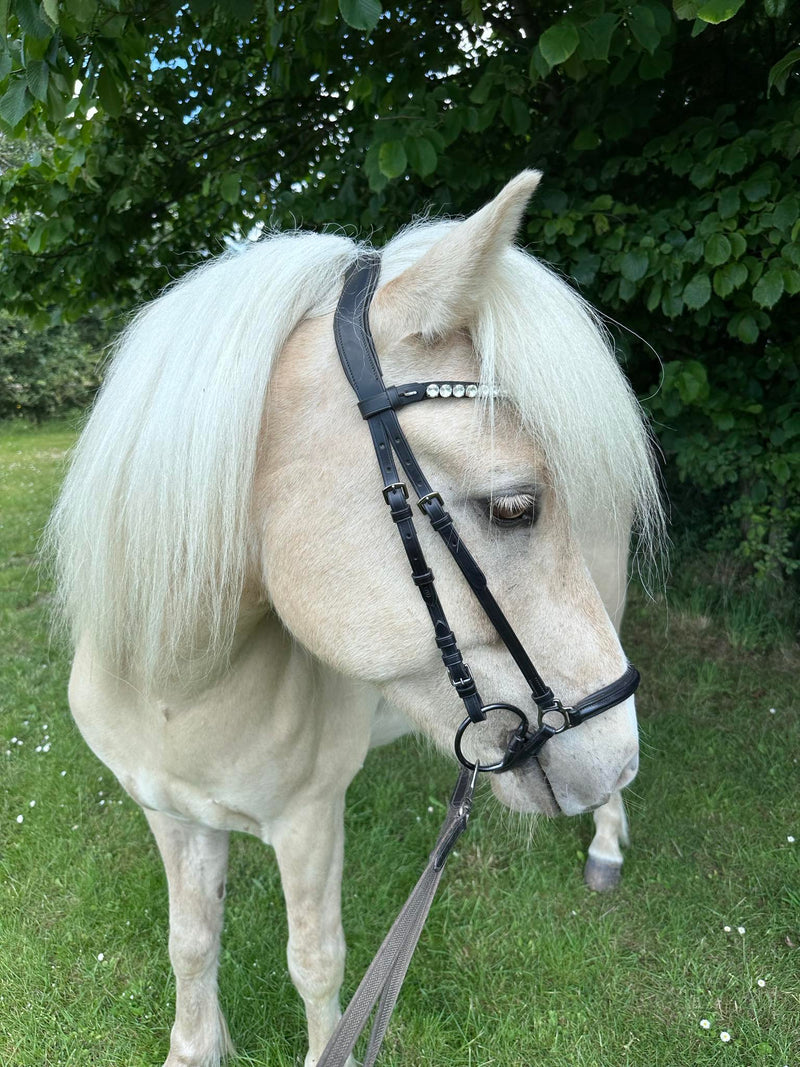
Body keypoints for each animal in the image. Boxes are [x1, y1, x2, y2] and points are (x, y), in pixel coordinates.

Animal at [48, 174, 665, 1067]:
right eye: (515, 506)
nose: (613, 756)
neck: (177, 688)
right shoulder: (168, 812)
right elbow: (191, 940)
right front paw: (198, 1043)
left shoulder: (309, 821)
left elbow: (314, 960)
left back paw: (607, 843)